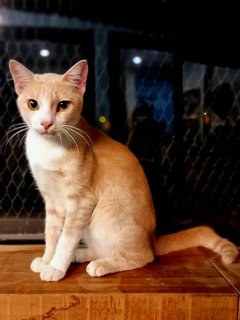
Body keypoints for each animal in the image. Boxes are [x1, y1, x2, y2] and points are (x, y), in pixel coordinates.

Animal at [8, 58, 239, 282]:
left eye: (63, 105)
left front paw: (56, 267)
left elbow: (66, 238)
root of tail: (152, 239)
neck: (50, 148)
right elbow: (52, 234)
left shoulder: (82, 201)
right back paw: (83, 254)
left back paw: (102, 264)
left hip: (103, 221)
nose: (46, 123)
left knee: (143, 256)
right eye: (33, 104)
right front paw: (47, 260)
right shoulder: (52, 200)